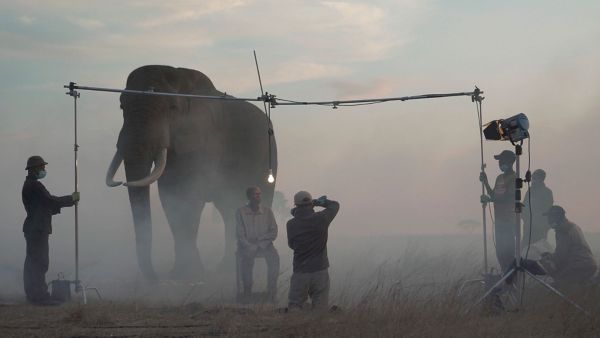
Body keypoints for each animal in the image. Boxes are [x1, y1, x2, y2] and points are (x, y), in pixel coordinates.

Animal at [104, 64, 278, 280]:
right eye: (122, 107)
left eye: (172, 108)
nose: (158, 278)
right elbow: (171, 196)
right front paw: (180, 275)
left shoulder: (206, 138)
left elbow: (188, 196)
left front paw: (189, 275)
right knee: (228, 207)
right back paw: (226, 267)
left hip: (269, 157)